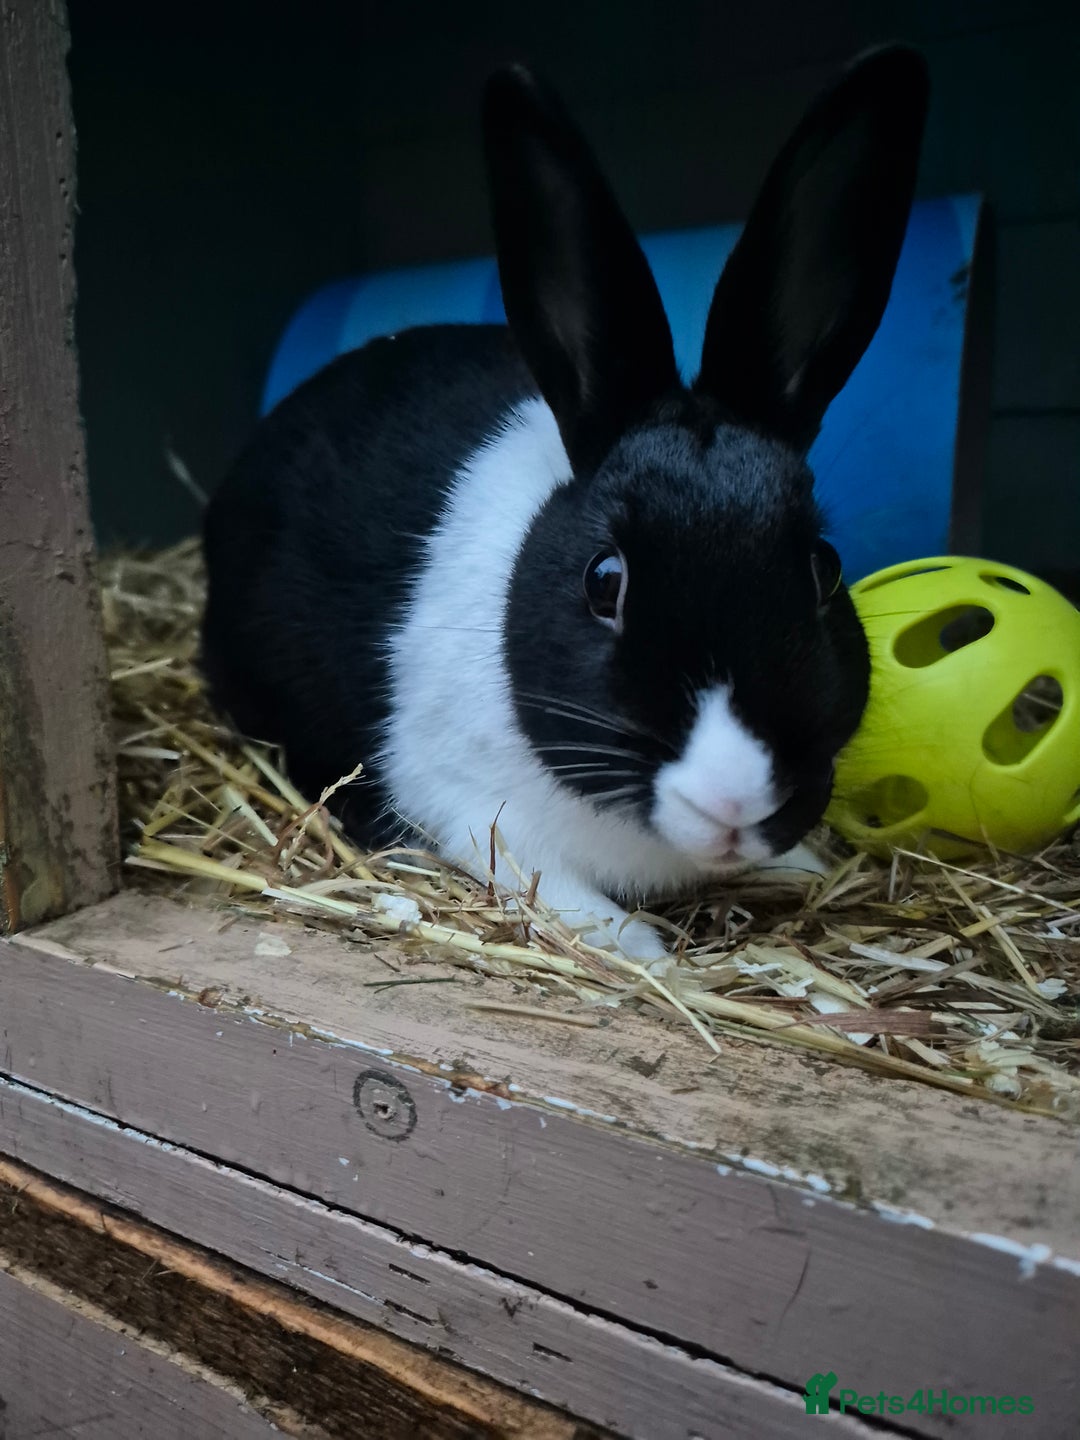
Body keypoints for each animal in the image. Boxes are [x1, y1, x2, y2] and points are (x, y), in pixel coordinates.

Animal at [202, 46, 929, 961]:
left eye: (823, 569)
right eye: (602, 581)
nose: (733, 803)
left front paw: (801, 865)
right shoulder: (473, 809)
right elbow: (576, 904)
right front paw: (658, 960)